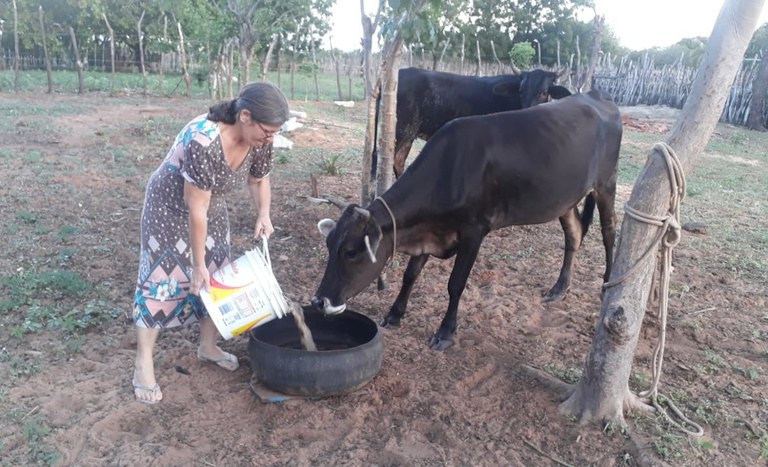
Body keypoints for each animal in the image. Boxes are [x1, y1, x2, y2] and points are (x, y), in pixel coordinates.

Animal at [316, 89, 620, 352]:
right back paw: (559, 288)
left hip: (606, 184)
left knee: (609, 232)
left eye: (351, 252)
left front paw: (445, 332)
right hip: (564, 200)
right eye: (329, 245)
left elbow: (456, 284)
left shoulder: (474, 231)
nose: (319, 301)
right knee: (574, 235)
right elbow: (410, 274)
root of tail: (597, 96)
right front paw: (394, 314)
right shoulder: (429, 232)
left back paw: (608, 286)